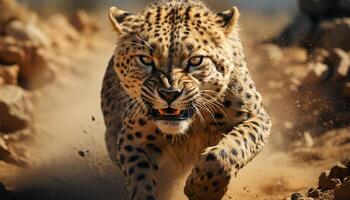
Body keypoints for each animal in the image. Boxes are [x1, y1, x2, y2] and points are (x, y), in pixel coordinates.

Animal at [100, 0, 272, 199]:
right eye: (145, 60)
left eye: (196, 60)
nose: (169, 93)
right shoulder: (132, 137)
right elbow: (138, 176)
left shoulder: (257, 116)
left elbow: (232, 147)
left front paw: (203, 189)